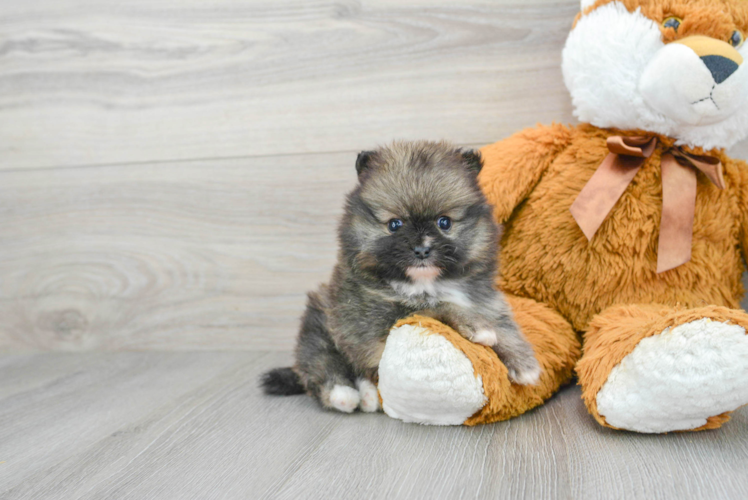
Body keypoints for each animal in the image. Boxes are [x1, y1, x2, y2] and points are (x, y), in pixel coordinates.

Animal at [262, 142, 536, 414]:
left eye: (444, 222)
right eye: (395, 225)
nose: (422, 250)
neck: (427, 283)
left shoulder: (485, 301)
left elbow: (504, 325)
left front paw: (523, 362)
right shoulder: (379, 320)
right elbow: (440, 307)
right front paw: (477, 328)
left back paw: (369, 395)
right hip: (320, 323)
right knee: (321, 362)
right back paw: (343, 394)